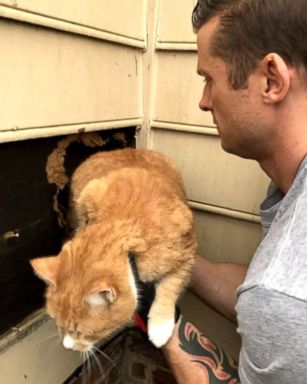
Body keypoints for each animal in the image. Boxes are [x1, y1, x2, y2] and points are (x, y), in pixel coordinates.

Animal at [31, 149, 197, 352]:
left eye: (82, 333)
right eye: (57, 324)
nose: (67, 346)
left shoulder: (187, 253)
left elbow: (170, 287)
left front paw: (160, 327)